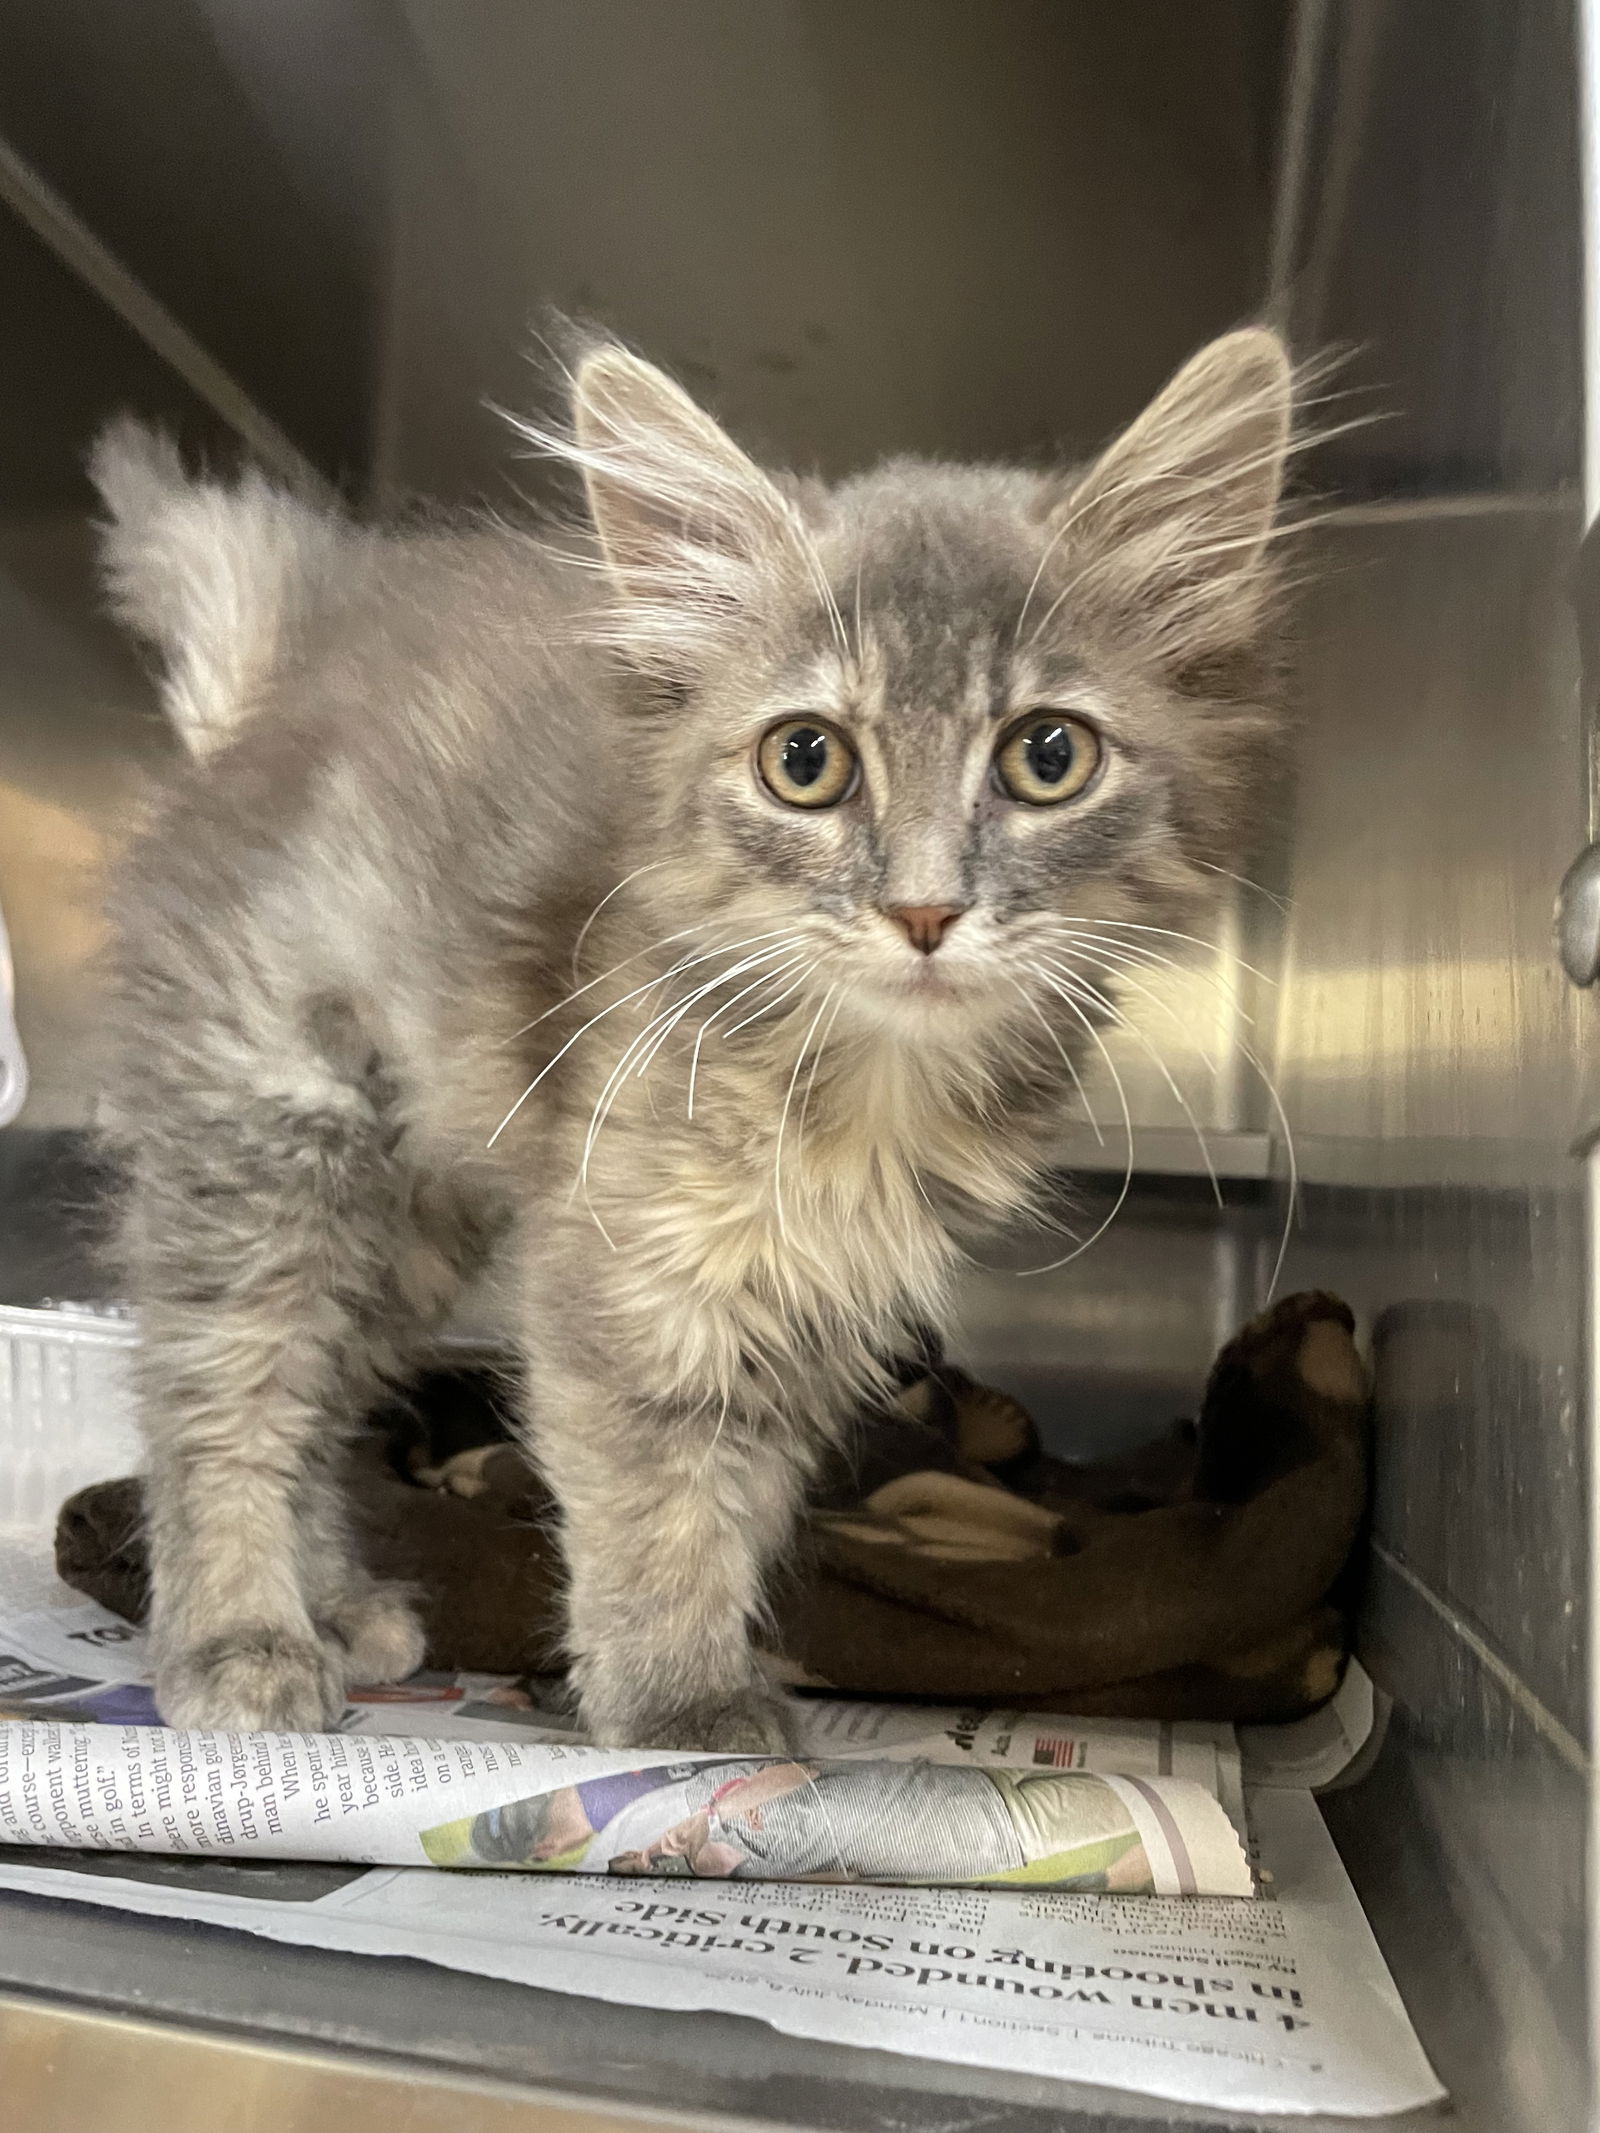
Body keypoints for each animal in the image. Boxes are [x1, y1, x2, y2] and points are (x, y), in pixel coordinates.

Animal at [90, 324, 1305, 1740]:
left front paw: (716, 1665)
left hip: (408, 1222)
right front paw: (676, 1700)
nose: (924, 910)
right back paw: (240, 1636)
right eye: (806, 761)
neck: (867, 1086)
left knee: (325, 1392)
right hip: (276, 1132)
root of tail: (273, 699)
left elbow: (742, 1491)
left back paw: (336, 1604)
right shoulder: (630, 1269)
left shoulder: (813, 1297)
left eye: (1047, 756)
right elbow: (651, 1494)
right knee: (225, 1388)